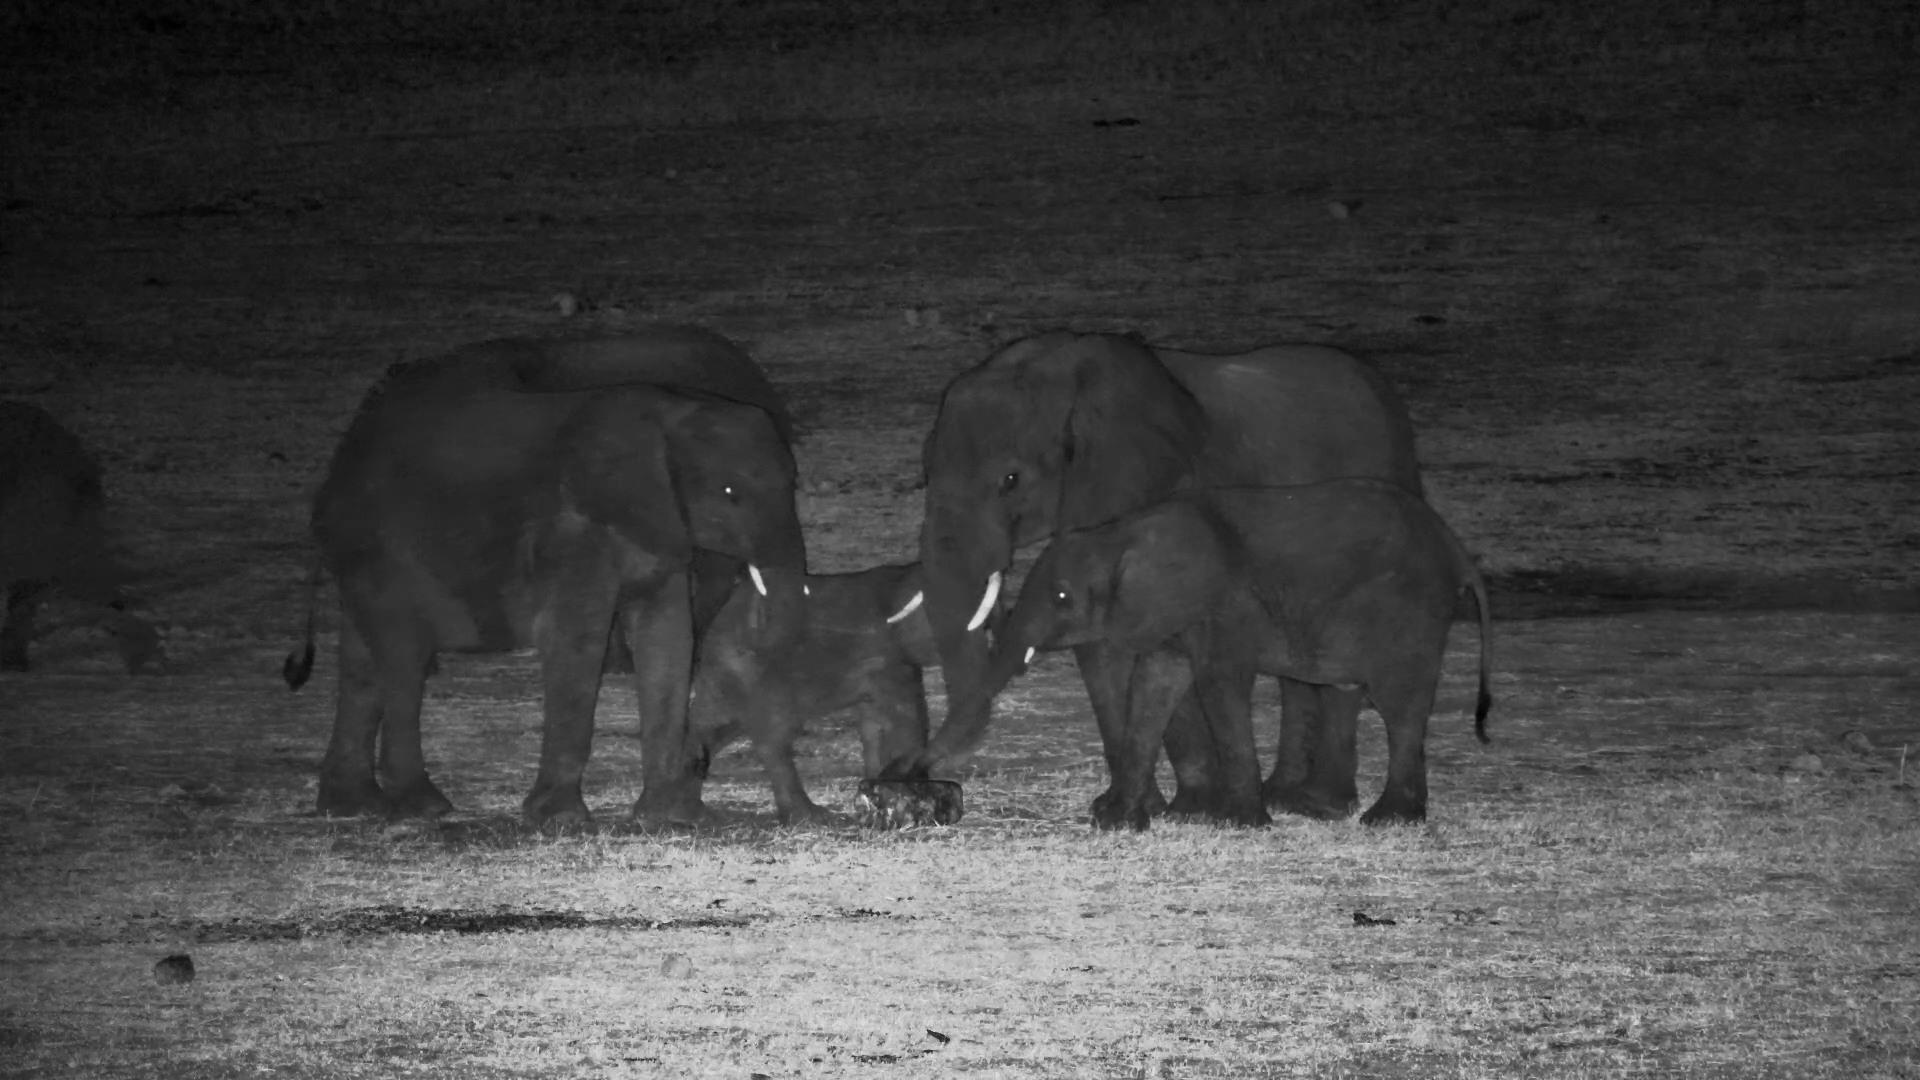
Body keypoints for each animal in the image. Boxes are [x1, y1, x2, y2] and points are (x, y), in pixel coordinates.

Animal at [290, 327, 809, 826]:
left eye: (794, 483)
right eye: (730, 493)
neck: (668, 413)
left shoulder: (659, 527)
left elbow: (667, 636)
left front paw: (674, 817)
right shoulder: (572, 532)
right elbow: (576, 639)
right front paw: (563, 819)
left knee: (362, 664)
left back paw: (352, 805)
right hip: (382, 549)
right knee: (404, 657)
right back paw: (423, 806)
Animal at [685, 561, 937, 824]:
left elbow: (874, 726)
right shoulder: (888, 661)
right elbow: (909, 719)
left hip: (727, 674)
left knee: (711, 729)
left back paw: (694, 811)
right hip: (756, 670)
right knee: (773, 737)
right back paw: (808, 816)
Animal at [899, 330, 1424, 818]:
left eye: (1011, 480)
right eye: (925, 474)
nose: (918, 776)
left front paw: (1191, 807)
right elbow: (1105, 644)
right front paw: (1143, 807)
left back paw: (1321, 804)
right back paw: (1285, 795)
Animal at [970, 480, 1492, 831]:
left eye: (1061, 597)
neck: (1120, 535)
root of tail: (1457, 551)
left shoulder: (1226, 607)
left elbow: (1219, 686)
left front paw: (1237, 823)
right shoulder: (1171, 615)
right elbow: (1154, 686)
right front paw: (1117, 821)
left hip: (1410, 611)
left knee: (1398, 704)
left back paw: (1386, 819)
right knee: (1370, 698)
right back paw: (1354, 812)